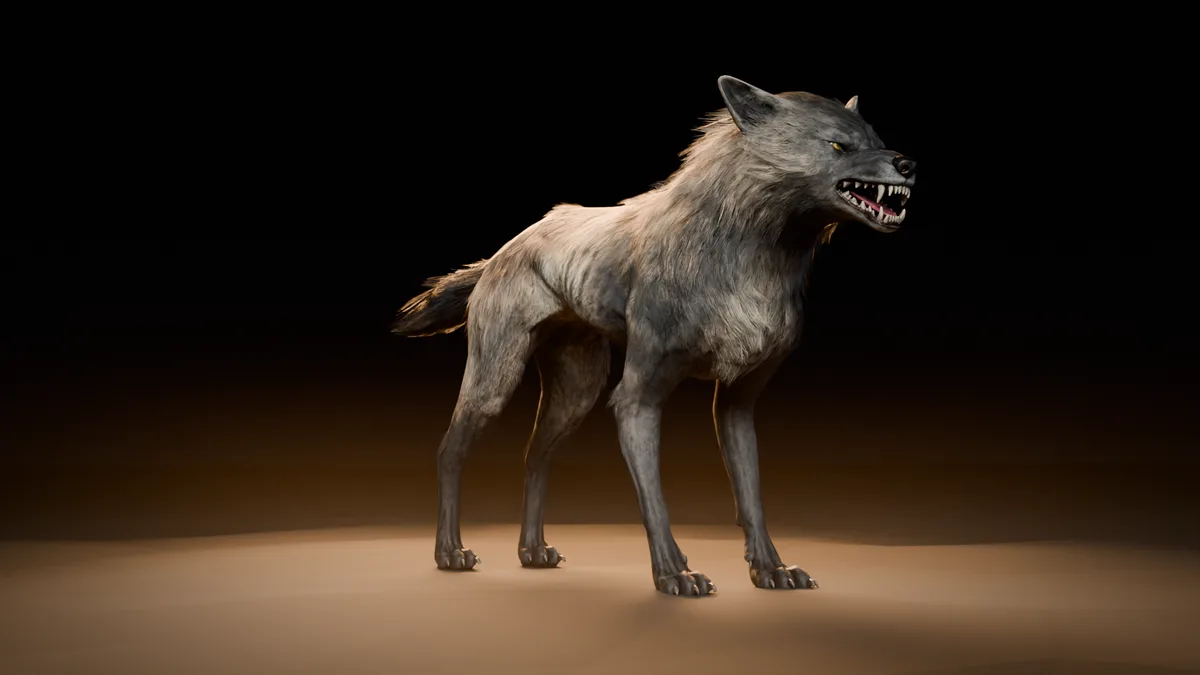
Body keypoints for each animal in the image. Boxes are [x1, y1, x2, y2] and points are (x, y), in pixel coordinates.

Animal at [391, 75, 917, 596]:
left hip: (576, 394)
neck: (750, 260)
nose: (907, 164)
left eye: (876, 138)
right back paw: (450, 553)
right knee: (450, 451)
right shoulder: (637, 399)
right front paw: (674, 574)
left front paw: (771, 570)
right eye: (838, 145)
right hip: (495, 385)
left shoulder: (736, 405)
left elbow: (752, 499)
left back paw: (533, 553)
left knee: (535, 456)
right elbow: (656, 501)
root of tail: (502, 251)